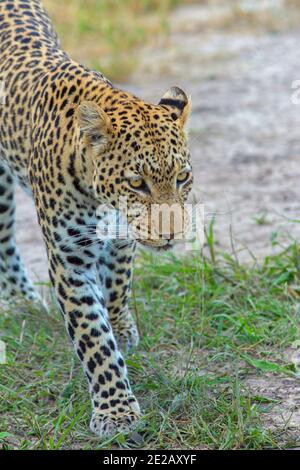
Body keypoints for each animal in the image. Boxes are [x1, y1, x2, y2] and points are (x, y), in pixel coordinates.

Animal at [0, 0, 192, 436]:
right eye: (137, 183)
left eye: (182, 177)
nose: (171, 235)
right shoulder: (69, 260)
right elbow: (93, 337)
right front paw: (116, 411)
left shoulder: (121, 237)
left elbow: (119, 285)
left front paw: (122, 328)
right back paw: (21, 302)